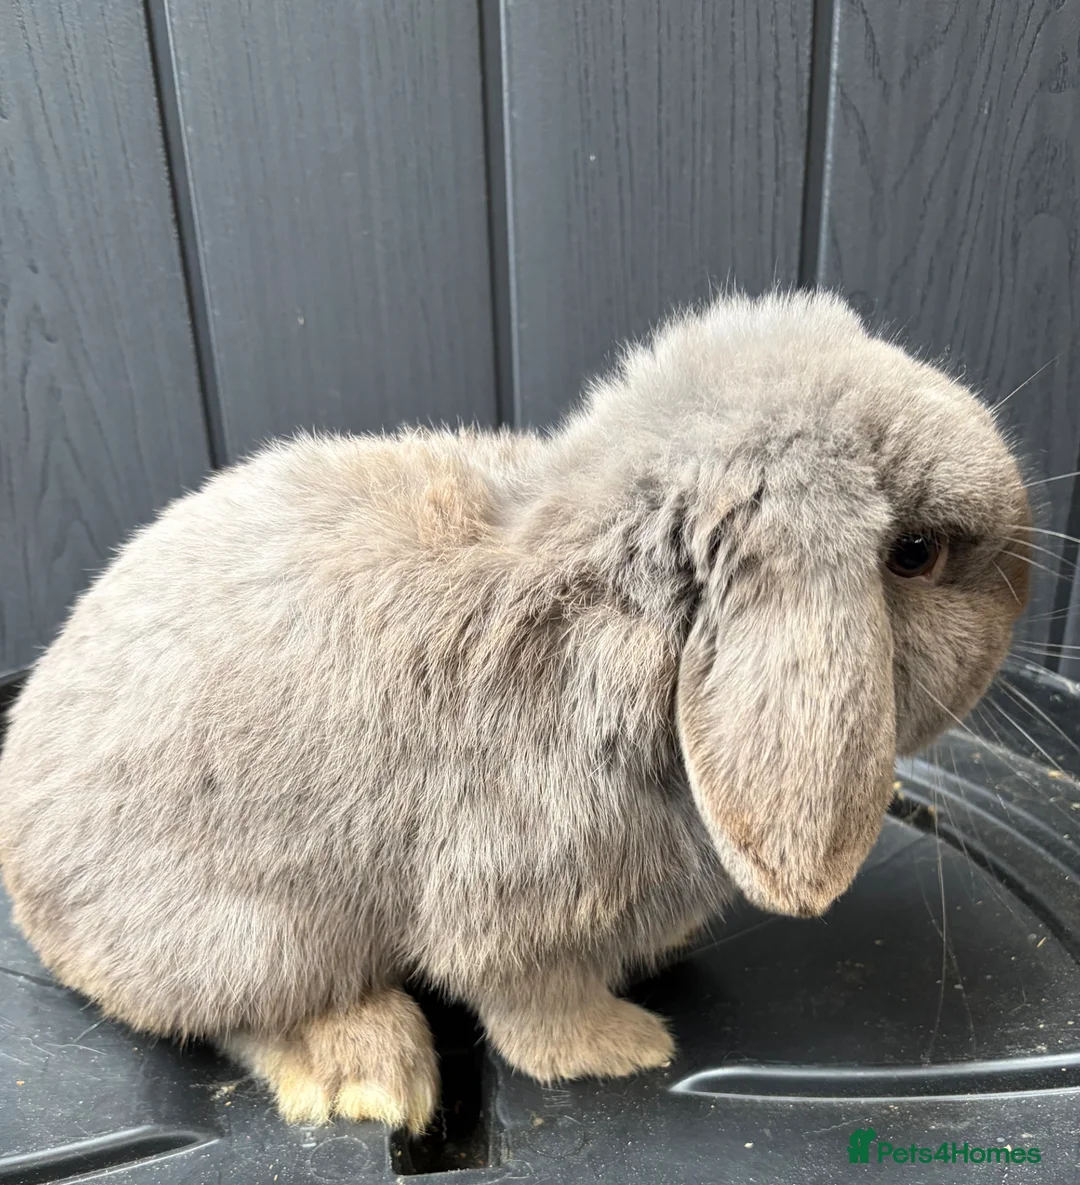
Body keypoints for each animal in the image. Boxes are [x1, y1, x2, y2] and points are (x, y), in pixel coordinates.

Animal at [0, 291, 1031, 1132]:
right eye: (915, 553)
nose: (1027, 589)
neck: (625, 613)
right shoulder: (515, 906)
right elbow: (533, 1007)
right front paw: (624, 1047)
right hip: (257, 932)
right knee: (236, 1014)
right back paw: (366, 1073)